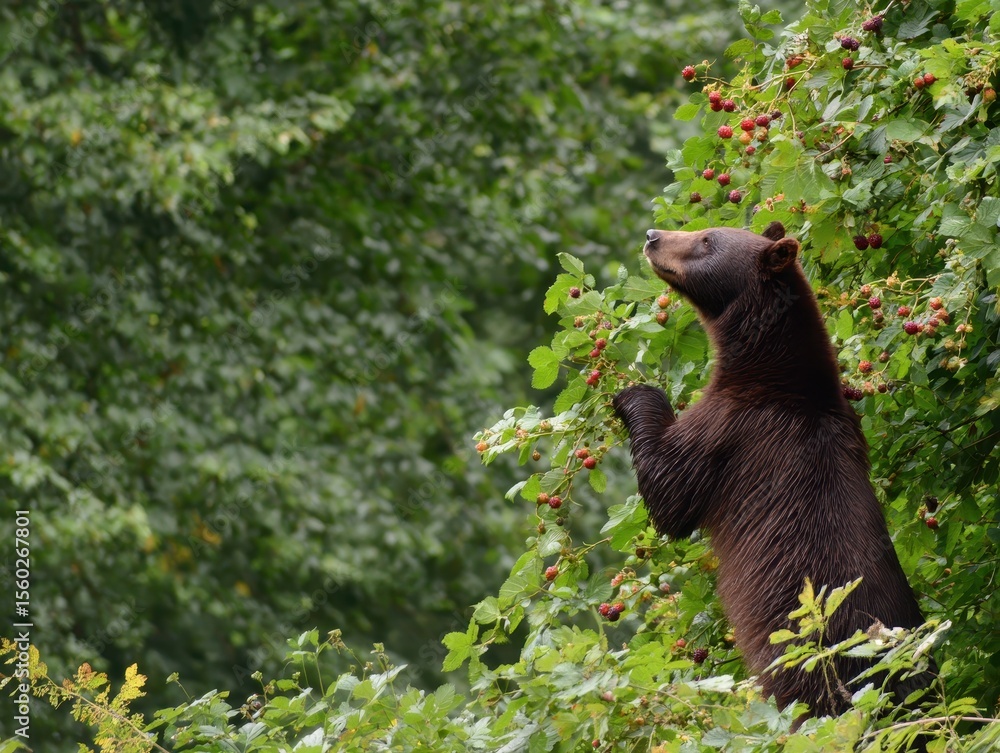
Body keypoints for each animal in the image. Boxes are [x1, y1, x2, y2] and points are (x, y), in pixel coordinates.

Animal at [612, 222, 931, 718]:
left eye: (707, 240)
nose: (652, 235)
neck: (770, 367)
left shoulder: (731, 428)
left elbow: (670, 492)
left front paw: (635, 394)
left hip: (803, 660)